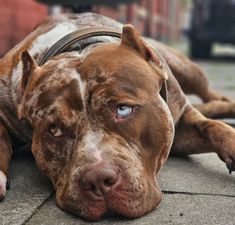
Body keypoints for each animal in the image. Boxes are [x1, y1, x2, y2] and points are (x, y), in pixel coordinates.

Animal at [0, 12, 234, 220]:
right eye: (54, 129)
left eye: (123, 109)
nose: (98, 179)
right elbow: (2, 139)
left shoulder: (182, 120)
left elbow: (215, 128)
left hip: (187, 69)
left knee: (211, 94)